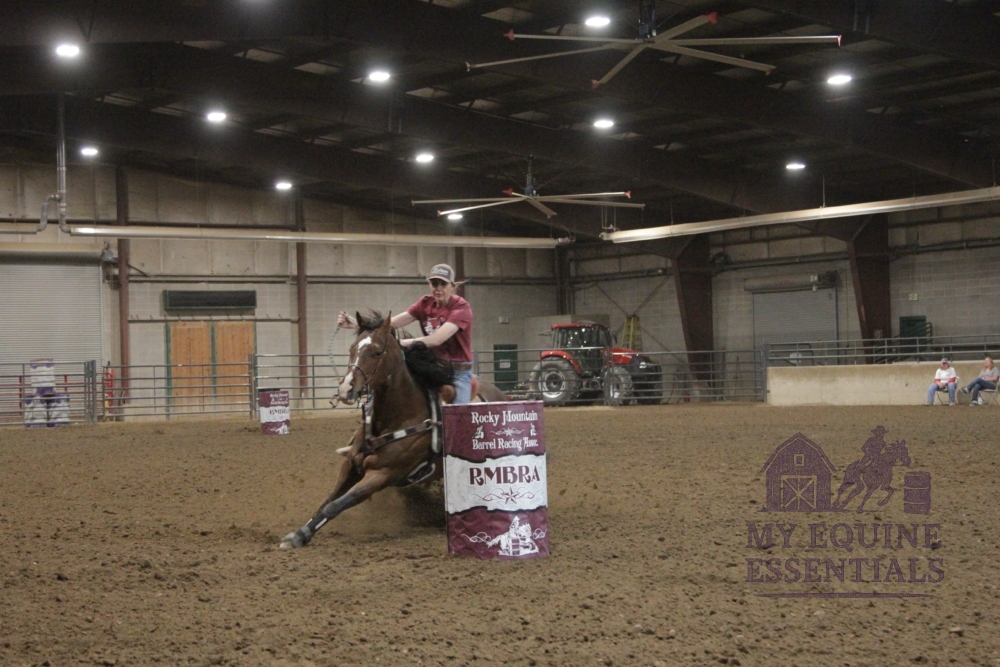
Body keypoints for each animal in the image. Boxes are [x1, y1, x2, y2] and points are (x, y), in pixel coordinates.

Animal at [280, 311, 506, 549]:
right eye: (352, 349)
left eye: (377, 352)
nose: (345, 389)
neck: (401, 416)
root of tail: (501, 394)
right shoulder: (350, 465)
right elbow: (328, 500)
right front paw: (300, 532)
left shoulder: (383, 474)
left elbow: (337, 504)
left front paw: (299, 535)